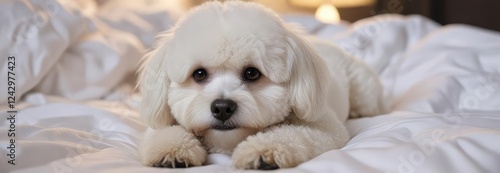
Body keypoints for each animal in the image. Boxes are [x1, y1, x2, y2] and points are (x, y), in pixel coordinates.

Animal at [139, 0, 388, 170]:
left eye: (252, 73)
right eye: (199, 74)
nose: (222, 107)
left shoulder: (326, 129)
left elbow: (292, 134)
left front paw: (262, 151)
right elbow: (164, 131)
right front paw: (171, 150)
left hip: (365, 94)